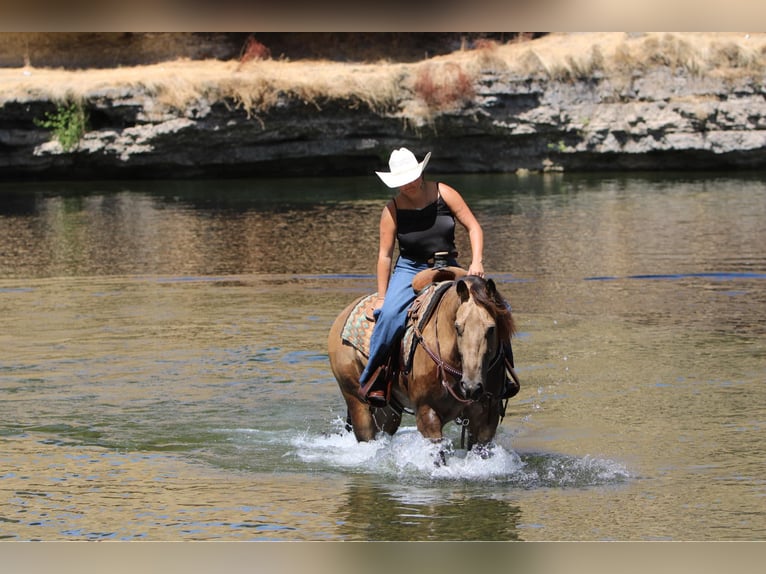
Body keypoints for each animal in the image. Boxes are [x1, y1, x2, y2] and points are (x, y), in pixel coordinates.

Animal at [328, 268, 520, 456]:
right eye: (458, 327)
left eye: (491, 328)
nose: (471, 387)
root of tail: (343, 316)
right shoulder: (427, 413)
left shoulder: (487, 416)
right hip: (356, 401)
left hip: (388, 410)